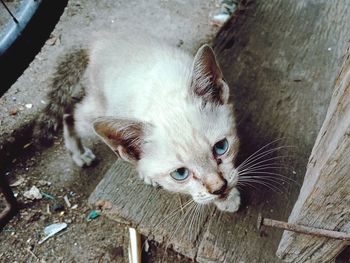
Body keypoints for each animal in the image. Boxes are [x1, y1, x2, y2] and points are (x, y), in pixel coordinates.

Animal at [33, 31, 241, 213]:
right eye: (180, 174)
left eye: (221, 147)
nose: (219, 188)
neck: (162, 96)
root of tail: (99, 38)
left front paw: (228, 199)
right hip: (97, 112)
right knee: (72, 114)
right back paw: (79, 153)